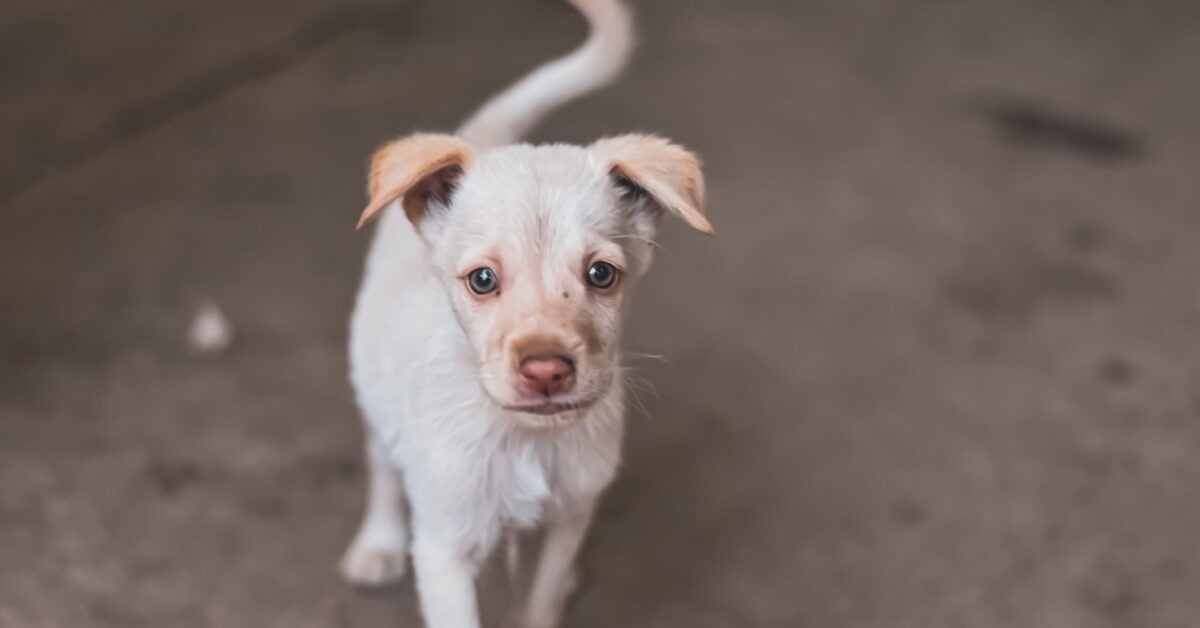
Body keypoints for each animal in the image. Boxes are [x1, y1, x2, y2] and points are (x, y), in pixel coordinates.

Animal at [338, 2, 710, 624]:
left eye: (601, 274)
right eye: (482, 280)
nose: (546, 372)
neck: (526, 437)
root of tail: (479, 138)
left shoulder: (567, 521)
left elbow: (539, 602)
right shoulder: (444, 548)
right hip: (372, 376)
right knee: (381, 458)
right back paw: (377, 543)